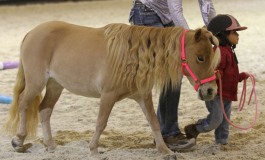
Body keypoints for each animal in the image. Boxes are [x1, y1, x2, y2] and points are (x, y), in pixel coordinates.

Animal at [3, 20, 219, 156]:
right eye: (200, 57)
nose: (211, 91)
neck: (133, 56)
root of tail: (31, 32)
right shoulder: (108, 96)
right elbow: (101, 123)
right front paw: (93, 149)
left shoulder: (143, 96)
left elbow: (153, 122)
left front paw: (165, 151)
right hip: (36, 83)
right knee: (23, 104)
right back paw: (18, 141)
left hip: (55, 85)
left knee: (44, 110)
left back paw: (50, 145)